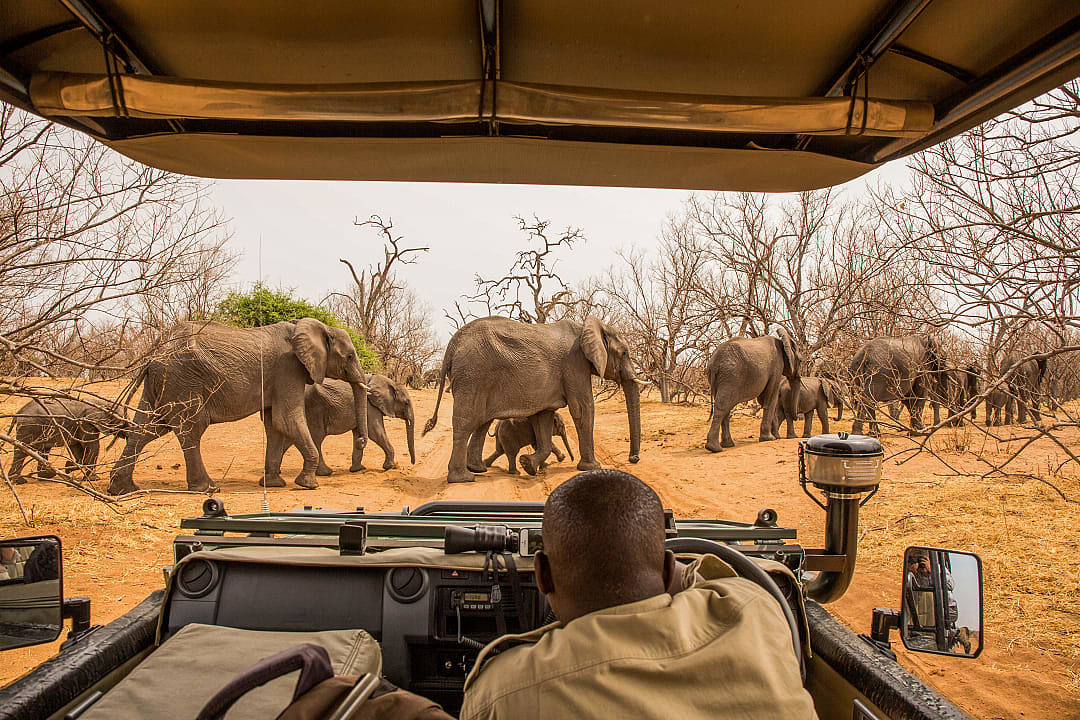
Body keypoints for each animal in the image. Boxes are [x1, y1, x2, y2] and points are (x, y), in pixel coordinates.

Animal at [108, 318, 368, 494]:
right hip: (183, 380)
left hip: (162, 383)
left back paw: (123, 489)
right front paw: (308, 484)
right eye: (350, 356)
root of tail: (153, 353)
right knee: (190, 428)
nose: (360, 441)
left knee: (147, 428)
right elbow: (287, 419)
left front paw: (273, 484)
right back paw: (206, 488)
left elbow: (274, 424)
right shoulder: (287, 368)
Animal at [267, 374, 415, 475]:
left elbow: (358, 432)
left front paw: (357, 470)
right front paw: (390, 467)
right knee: (317, 437)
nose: (412, 463)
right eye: (406, 402)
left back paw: (277, 473)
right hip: (314, 407)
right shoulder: (370, 407)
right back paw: (325, 473)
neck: (390, 382)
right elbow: (375, 431)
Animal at [424, 316, 645, 484]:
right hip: (472, 375)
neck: (588, 327)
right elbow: (582, 409)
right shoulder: (574, 365)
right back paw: (463, 479)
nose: (634, 458)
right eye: (624, 353)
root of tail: (453, 344)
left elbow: (543, 418)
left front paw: (528, 465)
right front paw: (591, 468)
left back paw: (478, 470)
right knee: (466, 422)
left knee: (482, 422)